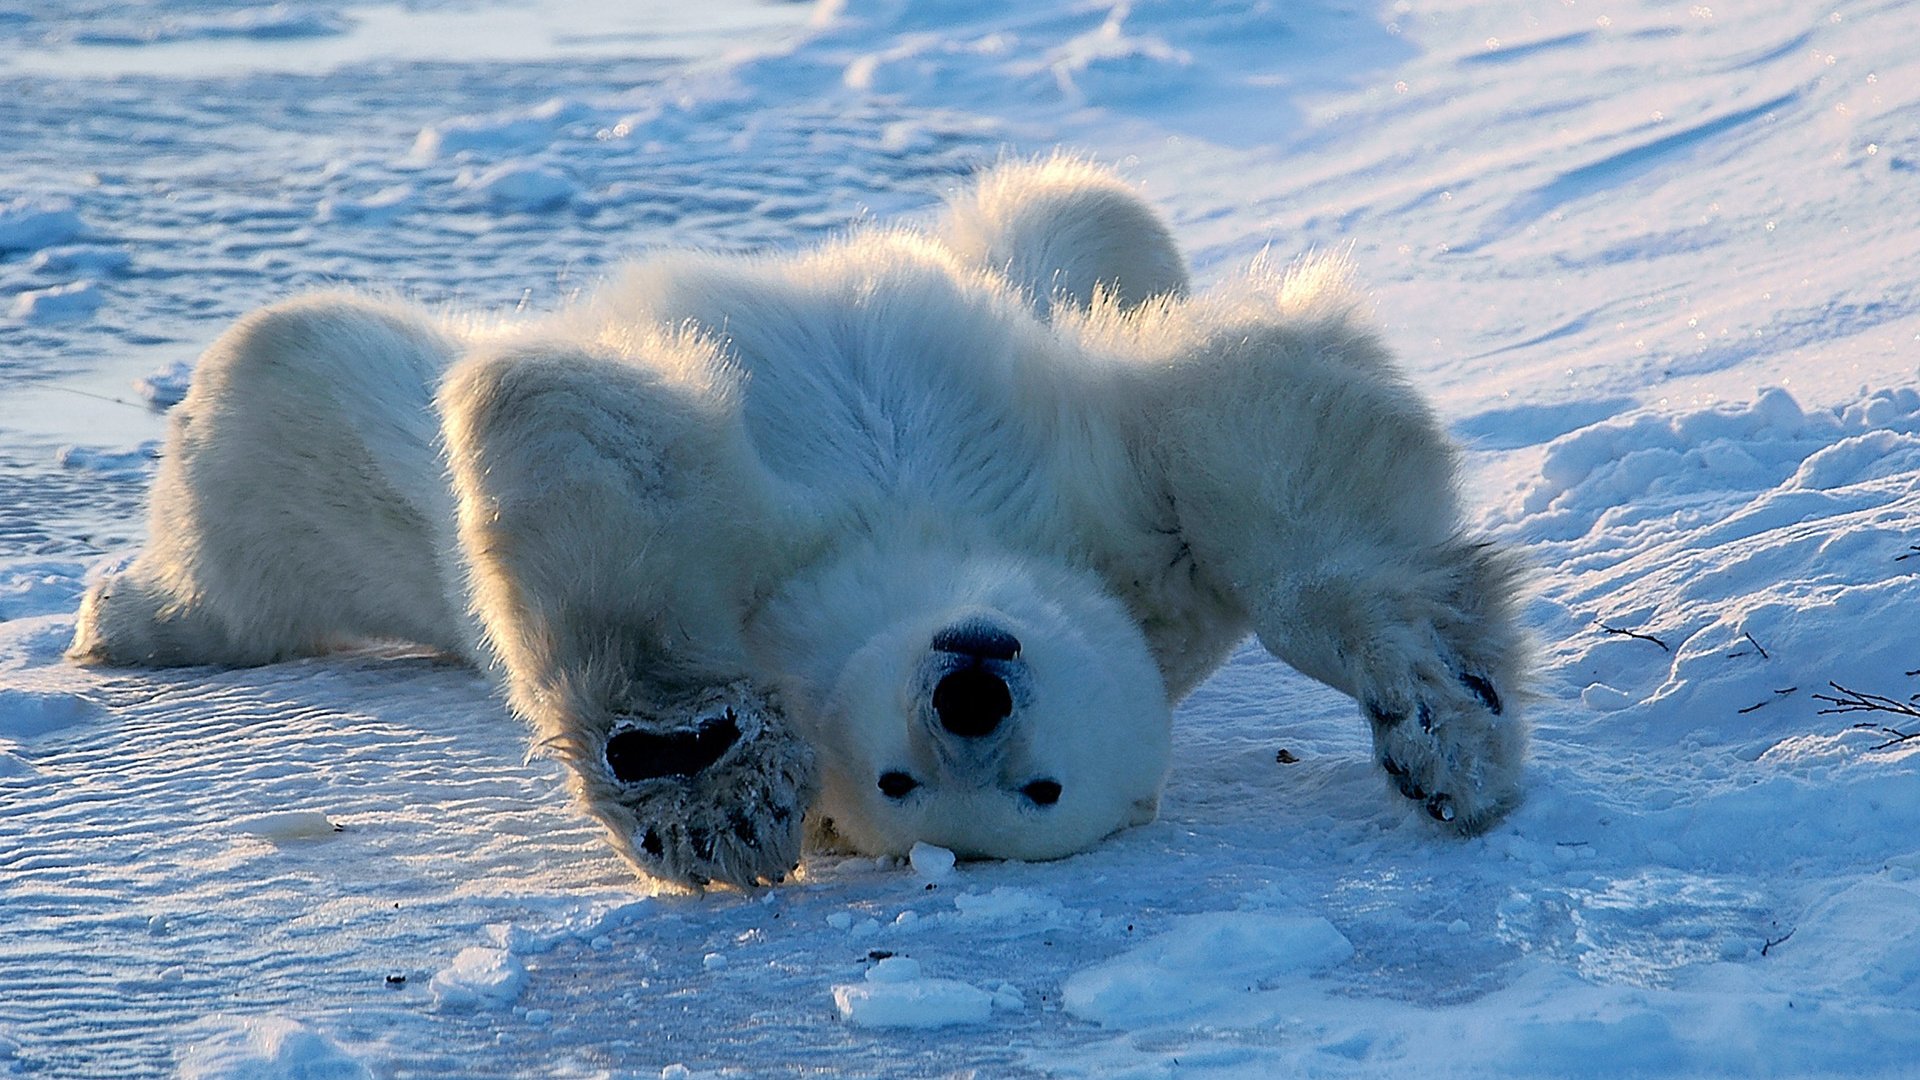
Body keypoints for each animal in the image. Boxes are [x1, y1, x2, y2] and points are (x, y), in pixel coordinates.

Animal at [71, 155, 1528, 887]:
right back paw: (129, 618)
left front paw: (1444, 718)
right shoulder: (1074, 517)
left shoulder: (1124, 558)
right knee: (283, 379)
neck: (913, 549)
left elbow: (1275, 446)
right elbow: (590, 445)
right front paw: (704, 774)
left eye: (1041, 792)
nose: (969, 693)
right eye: (897, 778)